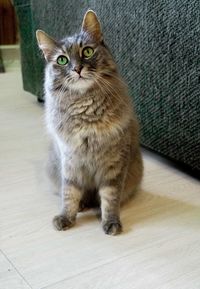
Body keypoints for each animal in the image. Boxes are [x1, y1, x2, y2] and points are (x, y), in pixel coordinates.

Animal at [36, 9, 144, 234]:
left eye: (87, 52)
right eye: (62, 60)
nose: (77, 69)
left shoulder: (114, 166)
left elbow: (110, 198)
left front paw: (110, 222)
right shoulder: (70, 163)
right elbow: (70, 194)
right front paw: (66, 218)